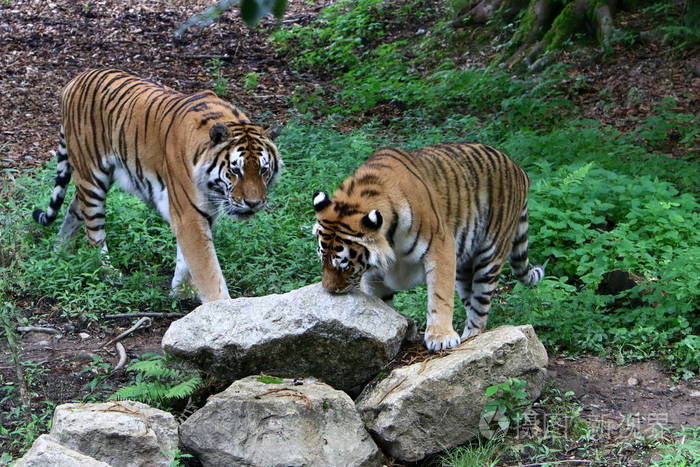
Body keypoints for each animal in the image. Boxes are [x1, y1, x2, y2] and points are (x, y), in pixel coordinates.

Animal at [32, 68, 282, 303]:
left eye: (263, 170)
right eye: (235, 170)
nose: (253, 203)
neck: (214, 188)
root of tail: (76, 79)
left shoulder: (198, 214)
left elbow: (186, 258)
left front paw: (182, 291)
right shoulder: (189, 213)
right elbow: (207, 268)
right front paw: (218, 306)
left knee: (74, 207)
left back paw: (60, 251)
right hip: (92, 175)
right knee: (93, 231)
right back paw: (106, 271)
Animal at [312, 142, 543, 351]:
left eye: (344, 265)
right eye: (323, 260)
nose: (330, 290)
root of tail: (518, 167)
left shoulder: (441, 247)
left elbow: (440, 296)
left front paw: (441, 337)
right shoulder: (373, 272)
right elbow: (381, 302)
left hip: (489, 257)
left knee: (480, 309)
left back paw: (473, 338)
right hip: (464, 268)